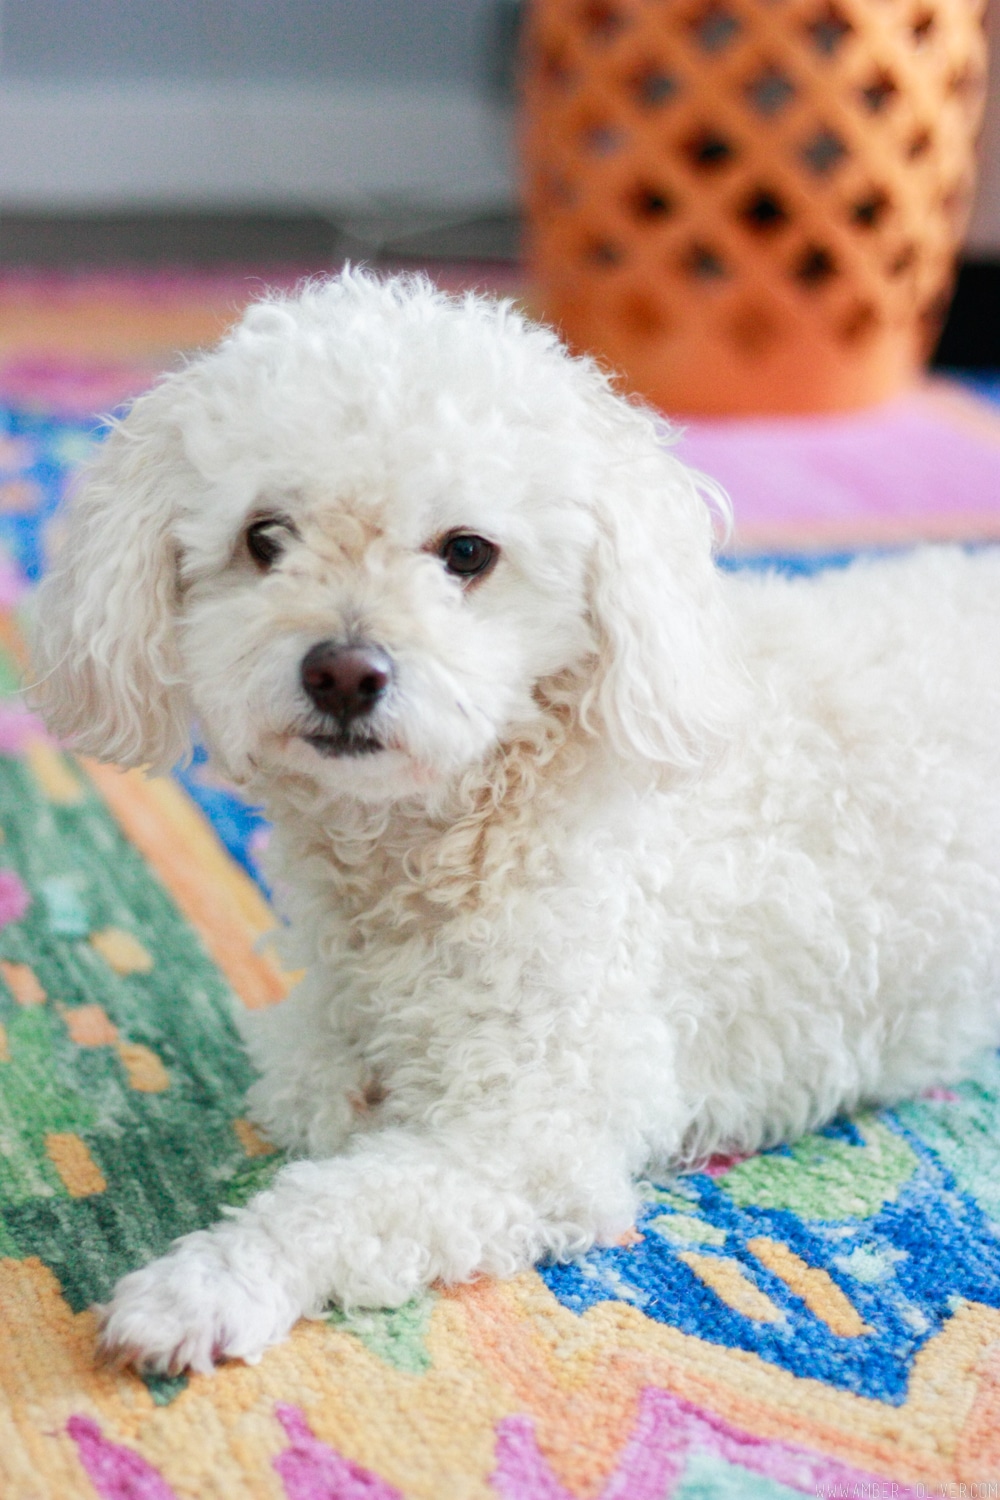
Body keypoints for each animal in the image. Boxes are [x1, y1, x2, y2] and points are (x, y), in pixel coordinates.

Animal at [31, 267, 1000, 1374]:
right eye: (265, 538)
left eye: (467, 553)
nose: (343, 671)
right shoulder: (319, 1046)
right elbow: (309, 1095)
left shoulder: (535, 1131)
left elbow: (341, 1200)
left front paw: (198, 1289)